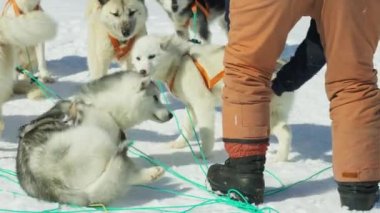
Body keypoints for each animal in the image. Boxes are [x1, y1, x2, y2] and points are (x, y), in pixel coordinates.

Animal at [15, 71, 173, 205]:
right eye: (155, 97)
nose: (171, 115)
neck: (103, 108)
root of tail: (50, 184)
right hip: (100, 140)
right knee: (121, 175)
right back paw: (152, 173)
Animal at [131, 35, 294, 161]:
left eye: (152, 56)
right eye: (138, 58)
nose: (142, 71)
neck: (179, 63)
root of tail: (281, 64)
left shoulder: (202, 103)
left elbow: (206, 131)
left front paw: (205, 153)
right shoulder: (191, 107)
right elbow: (187, 129)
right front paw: (179, 144)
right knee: (286, 132)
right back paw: (281, 158)